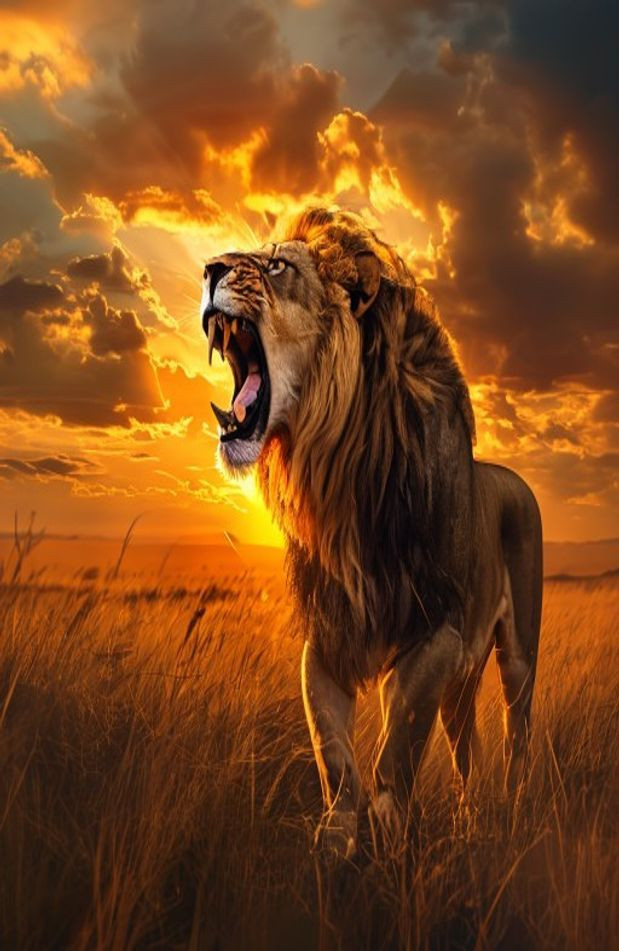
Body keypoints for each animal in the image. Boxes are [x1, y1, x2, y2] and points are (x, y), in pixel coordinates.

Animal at [201, 207, 543, 858]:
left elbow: (395, 750)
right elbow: (335, 757)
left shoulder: (436, 633)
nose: (207, 268)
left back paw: (514, 810)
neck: (341, 477)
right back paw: (470, 822)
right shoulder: (328, 636)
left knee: (517, 735)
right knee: (467, 751)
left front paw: (387, 837)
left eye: (277, 265)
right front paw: (336, 846)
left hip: (517, 654)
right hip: (462, 683)